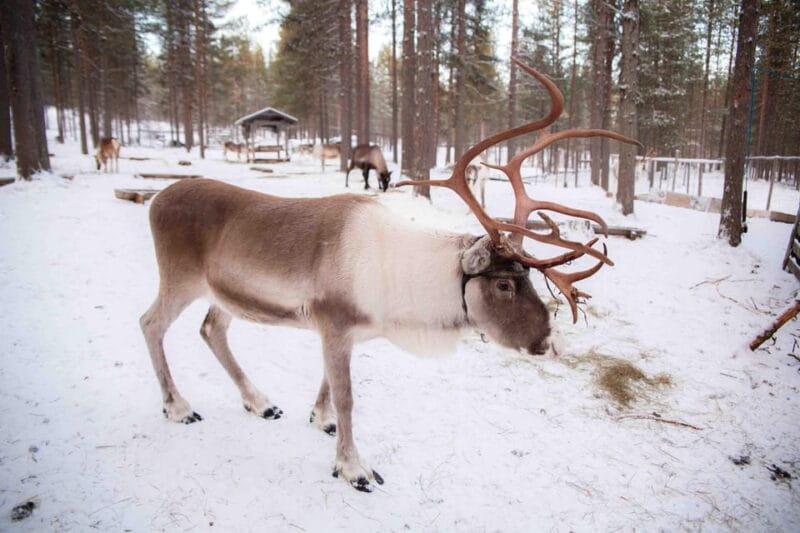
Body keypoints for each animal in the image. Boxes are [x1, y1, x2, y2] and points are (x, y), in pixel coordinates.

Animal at [139, 60, 640, 493]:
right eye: (504, 284)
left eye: (528, 279)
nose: (553, 343)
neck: (401, 286)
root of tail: (157, 198)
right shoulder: (334, 323)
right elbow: (348, 397)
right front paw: (353, 468)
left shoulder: (345, 332)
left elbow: (328, 384)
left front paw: (319, 419)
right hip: (179, 278)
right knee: (151, 323)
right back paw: (178, 407)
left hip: (221, 293)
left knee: (211, 329)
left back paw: (260, 402)